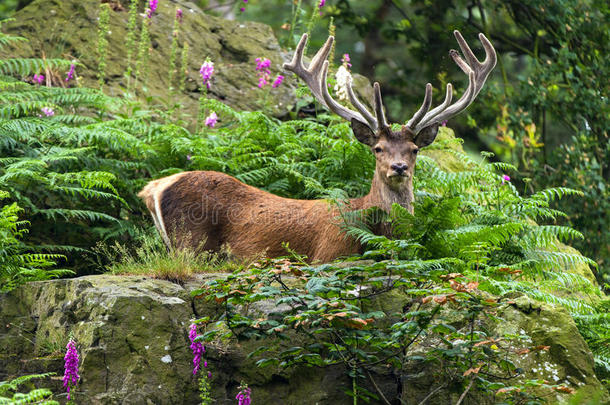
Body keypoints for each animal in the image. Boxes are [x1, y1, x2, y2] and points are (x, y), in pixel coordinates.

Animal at [139, 30, 494, 262]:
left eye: (415, 150)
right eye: (377, 148)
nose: (399, 167)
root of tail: (154, 187)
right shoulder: (329, 254)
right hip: (190, 242)